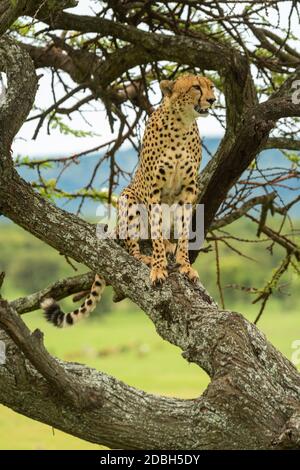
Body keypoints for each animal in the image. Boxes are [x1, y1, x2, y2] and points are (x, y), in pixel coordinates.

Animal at [41, 76, 216, 326]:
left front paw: (185, 265)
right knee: (132, 244)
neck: (182, 124)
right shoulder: (154, 190)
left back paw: (168, 246)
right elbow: (156, 237)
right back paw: (145, 256)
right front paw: (158, 268)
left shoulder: (188, 190)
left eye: (211, 86)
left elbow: (182, 233)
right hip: (128, 199)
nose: (213, 99)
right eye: (196, 87)